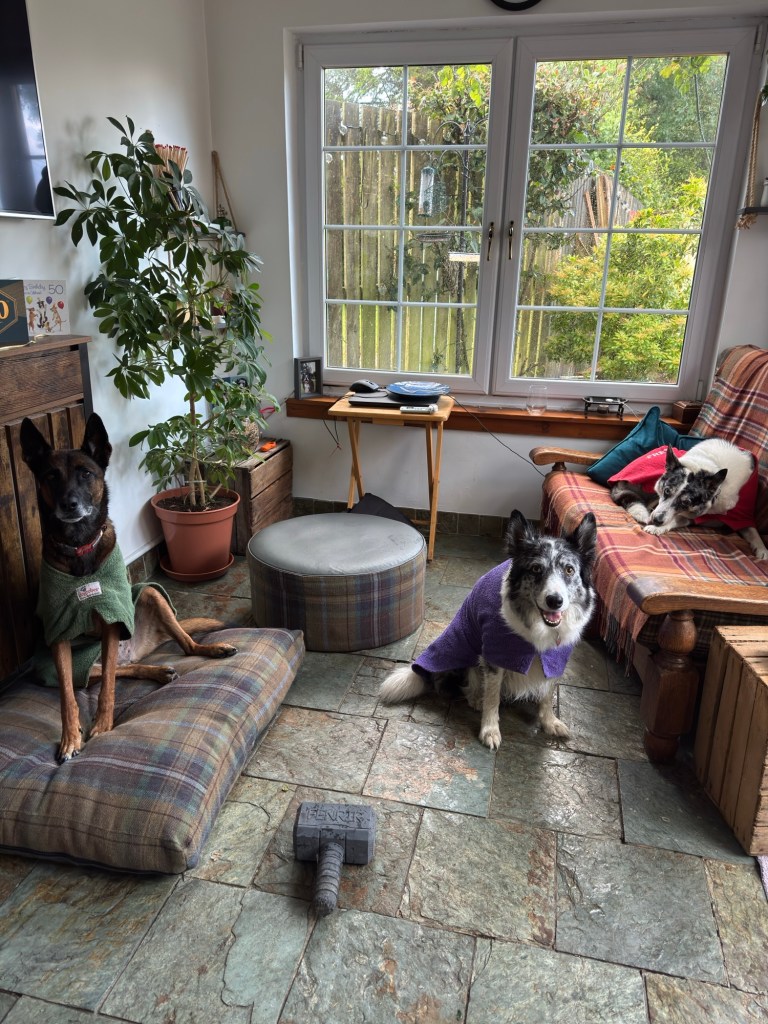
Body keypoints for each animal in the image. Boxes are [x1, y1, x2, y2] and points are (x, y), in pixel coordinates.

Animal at [20, 413, 238, 763]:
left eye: (86, 473)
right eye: (51, 476)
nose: (70, 504)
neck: (79, 547)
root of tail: (139, 647)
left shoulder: (114, 618)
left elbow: (108, 685)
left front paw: (103, 726)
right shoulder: (58, 633)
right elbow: (68, 695)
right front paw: (70, 738)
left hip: (149, 593)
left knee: (184, 646)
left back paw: (212, 649)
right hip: (52, 667)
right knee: (116, 671)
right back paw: (158, 672)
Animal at [379, 510, 597, 750]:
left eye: (569, 570)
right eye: (536, 569)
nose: (555, 601)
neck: (538, 628)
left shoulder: (556, 657)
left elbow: (548, 693)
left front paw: (550, 722)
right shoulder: (495, 653)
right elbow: (492, 697)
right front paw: (490, 730)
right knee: (465, 680)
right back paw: (475, 697)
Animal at [610, 439, 768, 560]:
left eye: (686, 502)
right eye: (667, 491)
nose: (655, 520)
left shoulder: (740, 515)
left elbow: (753, 530)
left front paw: (762, 549)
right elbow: (674, 518)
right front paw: (656, 527)